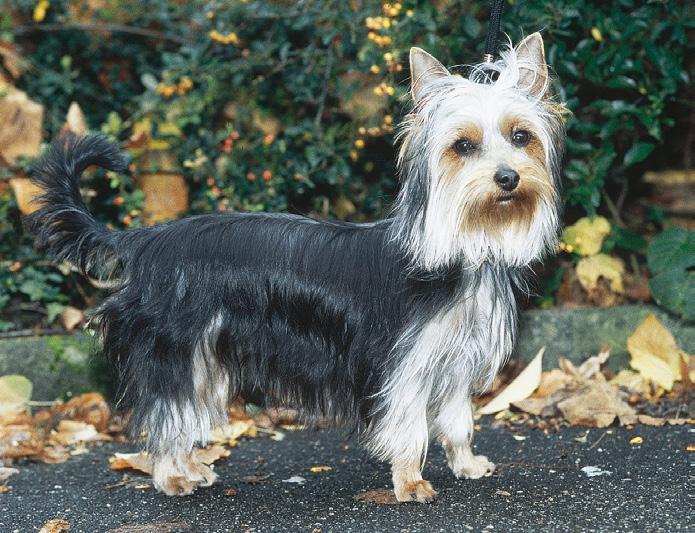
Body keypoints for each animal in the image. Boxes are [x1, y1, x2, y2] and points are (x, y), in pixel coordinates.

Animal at [31, 33, 564, 502]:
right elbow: (409, 427)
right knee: (170, 410)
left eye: (521, 137)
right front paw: (410, 483)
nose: (508, 178)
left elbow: (457, 420)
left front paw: (466, 463)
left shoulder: (454, 361)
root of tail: (142, 240)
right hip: (178, 346)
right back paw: (171, 475)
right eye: (463, 146)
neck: (464, 251)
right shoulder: (404, 365)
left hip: (206, 354)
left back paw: (189, 467)